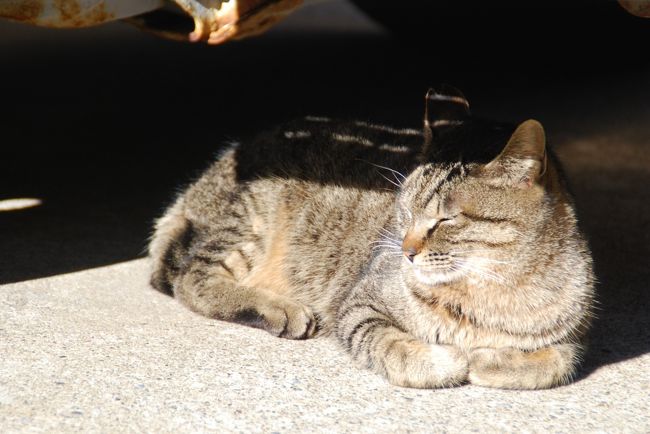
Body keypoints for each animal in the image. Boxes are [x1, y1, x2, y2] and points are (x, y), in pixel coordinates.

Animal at [151, 88, 592, 390]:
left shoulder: (572, 337)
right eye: (405, 209)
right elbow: (396, 349)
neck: (488, 292)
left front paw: (490, 360)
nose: (406, 251)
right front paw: (451, 360)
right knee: (190, 279)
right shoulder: (359, 306)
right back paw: (278, 309)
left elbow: (559, 361)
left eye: (445, 219)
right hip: (250, 222)